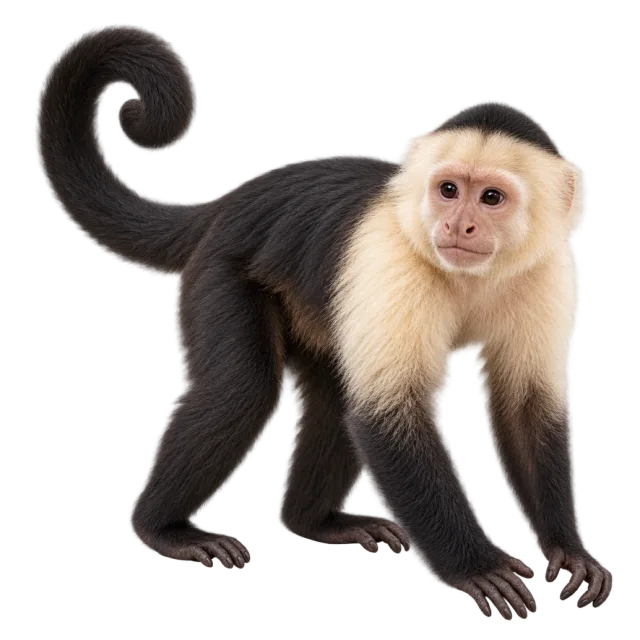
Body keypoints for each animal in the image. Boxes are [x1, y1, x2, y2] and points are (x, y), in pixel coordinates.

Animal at [36, 24, 612, 617]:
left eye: (491, 197)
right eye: (449, 190)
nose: (458, 225)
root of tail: (230, 203)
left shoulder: (549, 270)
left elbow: (525, 409)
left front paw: (568, 551)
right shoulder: (391, 257)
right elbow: (389, 417)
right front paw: (480, 567)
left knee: (333, 393)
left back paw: (314, 523)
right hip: (222, 270)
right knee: (240, 389)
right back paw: (165, 529)